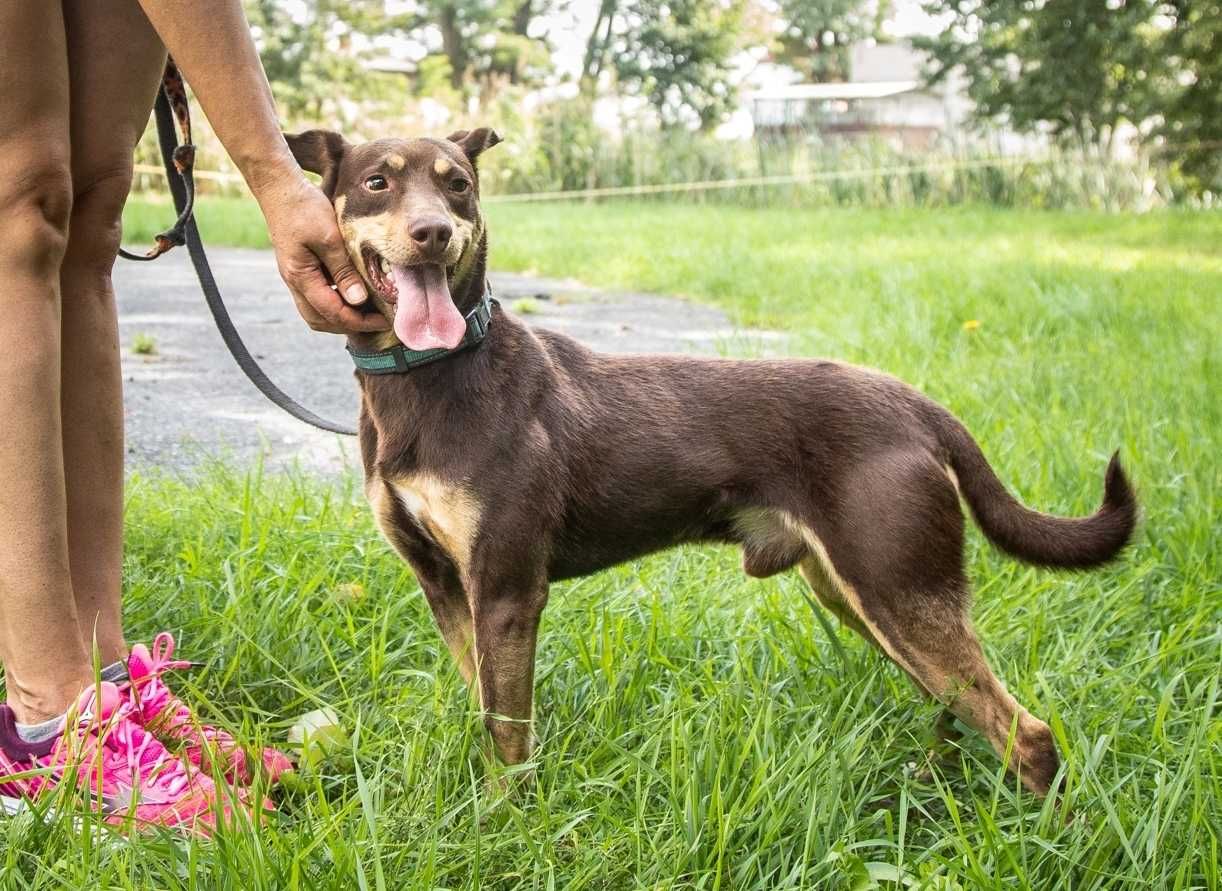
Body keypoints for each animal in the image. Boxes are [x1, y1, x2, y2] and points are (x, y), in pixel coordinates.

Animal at [285, 128, 1134, 796]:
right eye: (377, 182)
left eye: (458, 185)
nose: (432, 231)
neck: (433, 375)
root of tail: (916, 403)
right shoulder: (446, 588)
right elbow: (486, 709)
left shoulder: (506, 591)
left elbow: (508, 735)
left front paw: (507, 819)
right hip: (857, 593)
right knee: (964, 710)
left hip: (898, 587)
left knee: (1027, 733)